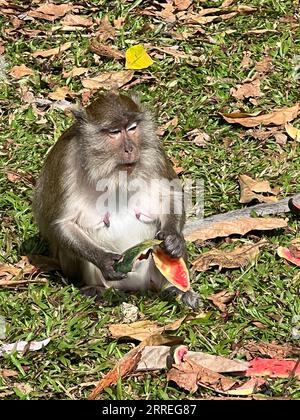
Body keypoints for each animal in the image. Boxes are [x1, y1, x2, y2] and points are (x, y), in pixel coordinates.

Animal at [33, 91, 199, 308]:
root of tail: (136, 288)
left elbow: (171, 195)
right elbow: (61, 224)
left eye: (132, 128)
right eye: (114, 132)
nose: (130, 148)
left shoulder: (153, 150)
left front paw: (173, 239)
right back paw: (98, 290)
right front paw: (104, 261)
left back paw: (175, 289)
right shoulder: (64, 160)